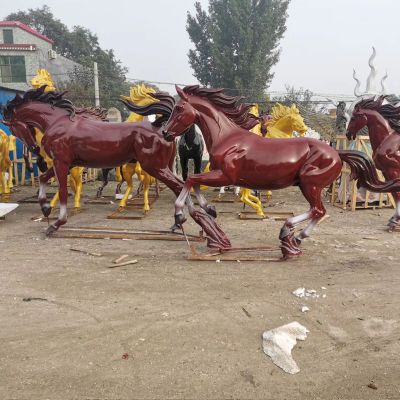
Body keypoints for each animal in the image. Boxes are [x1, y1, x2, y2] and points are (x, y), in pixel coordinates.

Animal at [163, 85, 400, 258]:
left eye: (179, 108)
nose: (165, 133)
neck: (227, 138)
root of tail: (336, 153)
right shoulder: (220, 175)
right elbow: (193, 183)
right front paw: (208, 210)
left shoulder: (226, 175)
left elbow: (190, 180)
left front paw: (180, 215)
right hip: (309, 185)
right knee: (318, 211)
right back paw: (295, 239)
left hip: (310, 183)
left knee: (318, 210)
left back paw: (289, 233)